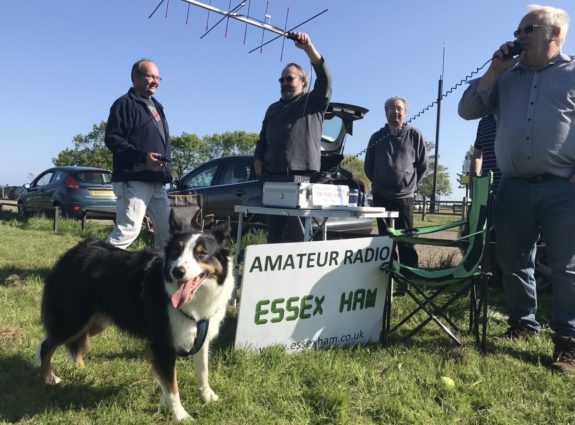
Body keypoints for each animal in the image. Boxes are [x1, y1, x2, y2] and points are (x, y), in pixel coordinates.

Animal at [35, 224, 236, 420]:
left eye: (202, 253)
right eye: (176, 252)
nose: (177, 271)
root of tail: (74, 251)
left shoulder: (200, 337)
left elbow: (202, 372)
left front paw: (207, 397)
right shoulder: (163, 344)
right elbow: (172, 386)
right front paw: (180, 415)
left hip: (97, 321)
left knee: (70, 340)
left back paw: (80, 369)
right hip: (73, 319)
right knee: (48, 343)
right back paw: (47, 377)